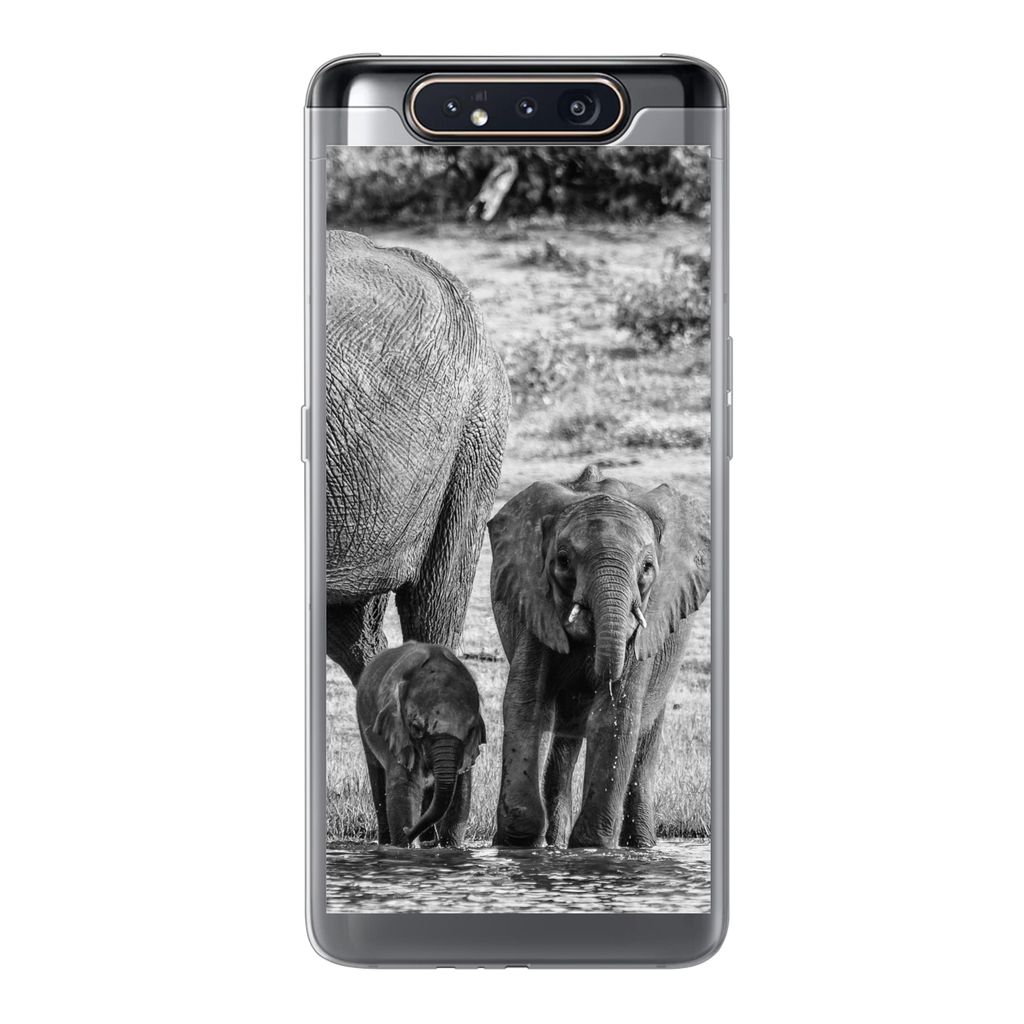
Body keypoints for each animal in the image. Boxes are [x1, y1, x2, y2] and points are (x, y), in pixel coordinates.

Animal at [356, 642, 486, 847]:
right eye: (416, 728)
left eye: (470, 730)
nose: (407, 830)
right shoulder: (398, 733)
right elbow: (406, 787)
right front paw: (407, 846)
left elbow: (461, 790)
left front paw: (450, 847)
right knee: (377, 774)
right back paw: (388, 842)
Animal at [487, 464, 710, 850]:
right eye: (562, 561)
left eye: (648, 567)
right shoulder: (534, 600)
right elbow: (527, 703)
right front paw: (519, 842)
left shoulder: (647, 618)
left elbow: (615, 714)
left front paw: (592, 845)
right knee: (563, 740)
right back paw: (555, 844)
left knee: (643, 738)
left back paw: (641, 847)